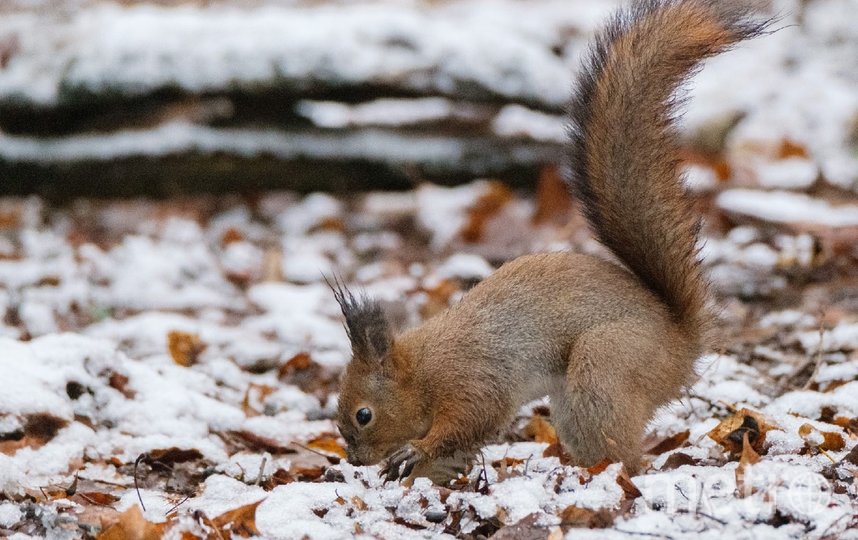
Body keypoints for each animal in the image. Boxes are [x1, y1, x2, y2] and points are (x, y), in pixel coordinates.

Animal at [332, 0, 764, 480]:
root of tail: (681, 341)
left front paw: (415, 452)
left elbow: (468, 422)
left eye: (364, 414)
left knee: (626, 453)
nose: (354, 459)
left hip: (605, 364)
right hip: (574, 403)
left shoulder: (470, 382)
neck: (421, 371)